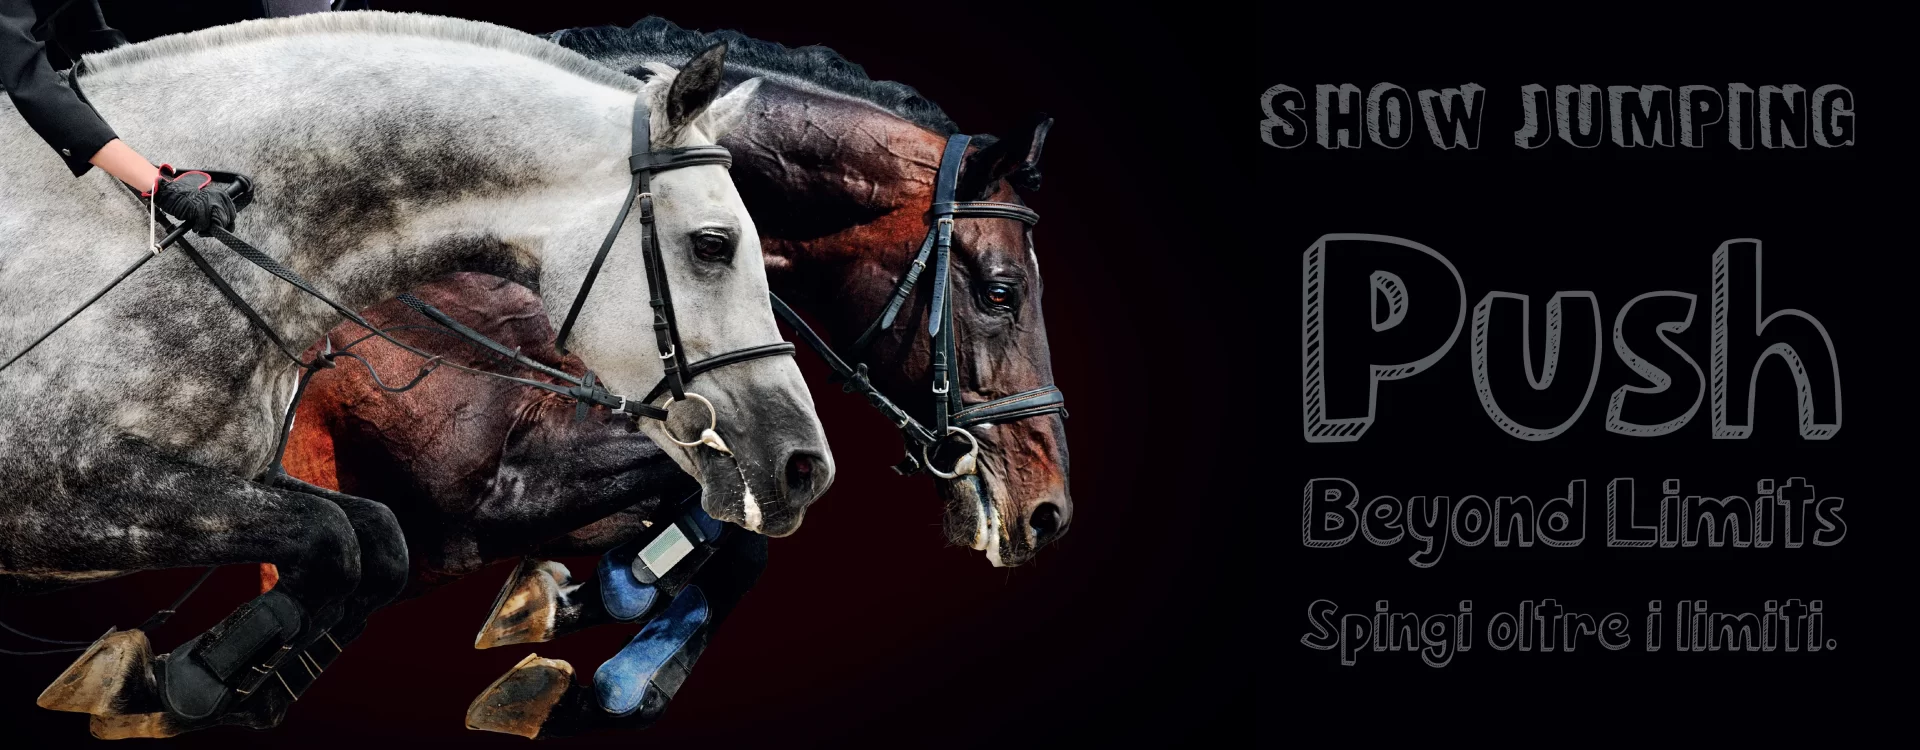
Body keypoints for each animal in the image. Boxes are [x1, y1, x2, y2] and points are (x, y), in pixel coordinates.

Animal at [0, 12, 832, 738]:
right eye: (713, 245)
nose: (804, 468)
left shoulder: (260, 481)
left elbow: (373, 541)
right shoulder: (65, 501)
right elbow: (335, 539)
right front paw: (179, 682)